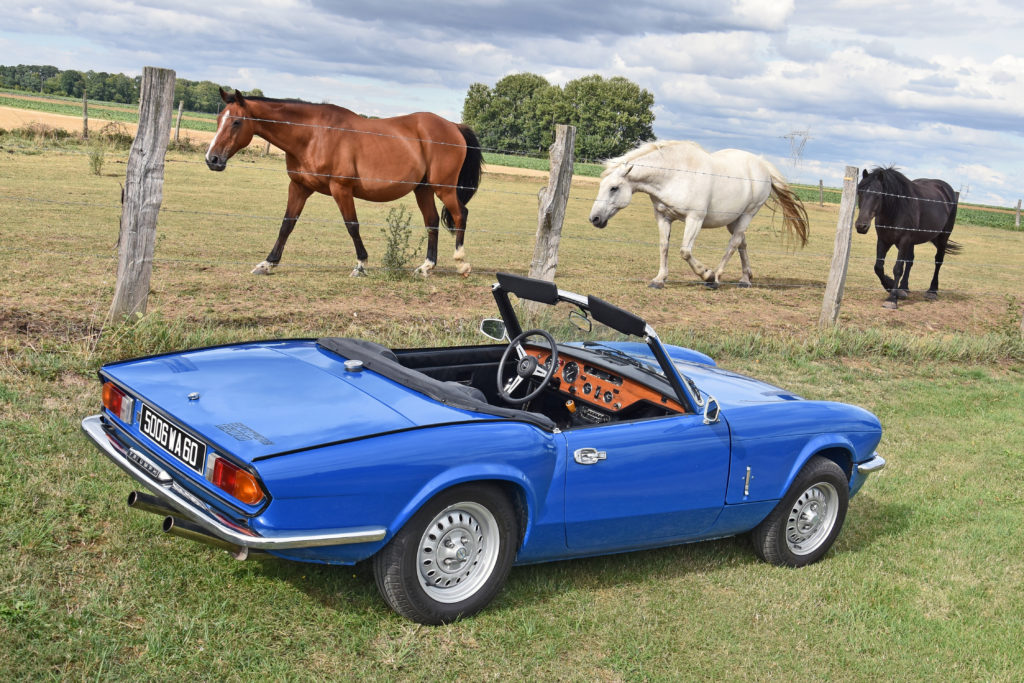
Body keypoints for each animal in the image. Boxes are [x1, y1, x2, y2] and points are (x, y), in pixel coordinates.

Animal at [206, 89, 483, 276]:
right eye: (219, 119)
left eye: (237, 122)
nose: (212, 159)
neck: (313, 135)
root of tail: (453, 126)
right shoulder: (299, 187)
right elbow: (287, 224)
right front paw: (268, 263)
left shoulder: (341, 189)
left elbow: (352, 225)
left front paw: (361, 265)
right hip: (422, 189)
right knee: (432, 222)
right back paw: (426, 266)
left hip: (443, 188)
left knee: (461, 214)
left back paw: (461, 262)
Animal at [589, 140, 811, 286]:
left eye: (614, 188)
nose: (594, 218)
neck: (674, 174)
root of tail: (763, 165)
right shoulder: (663, 217)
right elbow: (664, 247)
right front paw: (659, 279)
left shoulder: (695, 219)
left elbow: (685, 251)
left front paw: (706, 274)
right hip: (734, 220)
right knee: (742, 244)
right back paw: (745, 279)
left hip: (748, 214)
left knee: (733, 245)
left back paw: (716, 278)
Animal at [856, 167, 958, 309]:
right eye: (859, 193)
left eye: (878, 195)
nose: (861, 226)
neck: (896, 209)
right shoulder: (883, 240)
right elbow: (878, 267)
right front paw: (892, 287)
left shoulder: (904, 240)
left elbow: (898, 268)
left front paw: (892, 299)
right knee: (910, 261)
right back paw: (904, 287)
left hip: (943, 237)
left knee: (938, 261)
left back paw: (932, 291)